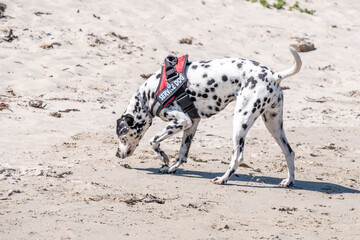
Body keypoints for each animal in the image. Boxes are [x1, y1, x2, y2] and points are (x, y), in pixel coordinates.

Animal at [116, 46, 302, 186]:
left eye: (122, 137)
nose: (117, 155)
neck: (148, 95)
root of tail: (274, 76)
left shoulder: (181, 121)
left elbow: (153, 141)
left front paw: (163, 157)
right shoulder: (192, 123)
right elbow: (182, 153)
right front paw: (171, 168)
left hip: (240, 122)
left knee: (238, 156)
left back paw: (223, 179)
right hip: (274, 125)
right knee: (289, 152)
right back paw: (289, 181)